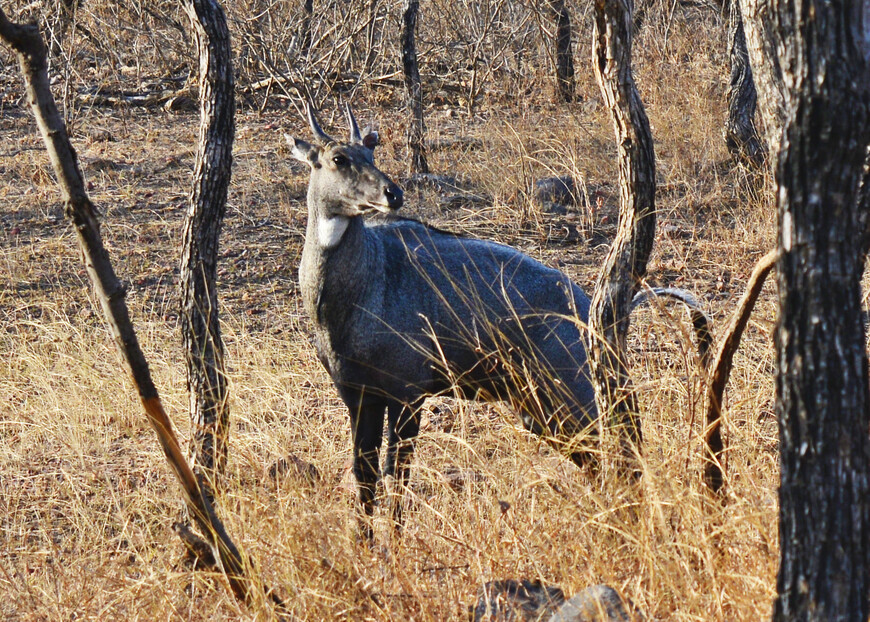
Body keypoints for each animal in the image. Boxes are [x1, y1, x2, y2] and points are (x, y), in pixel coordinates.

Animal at [292, 103, 600, 540]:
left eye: (371, 152)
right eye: (339, 158)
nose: (393, 193)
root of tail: (585, 302)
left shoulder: (407, 394)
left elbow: (397, 473)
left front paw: (394, 544)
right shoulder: (357, 395)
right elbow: (364, 473)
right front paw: (363, 544)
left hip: (567, 391)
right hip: (537, 406)